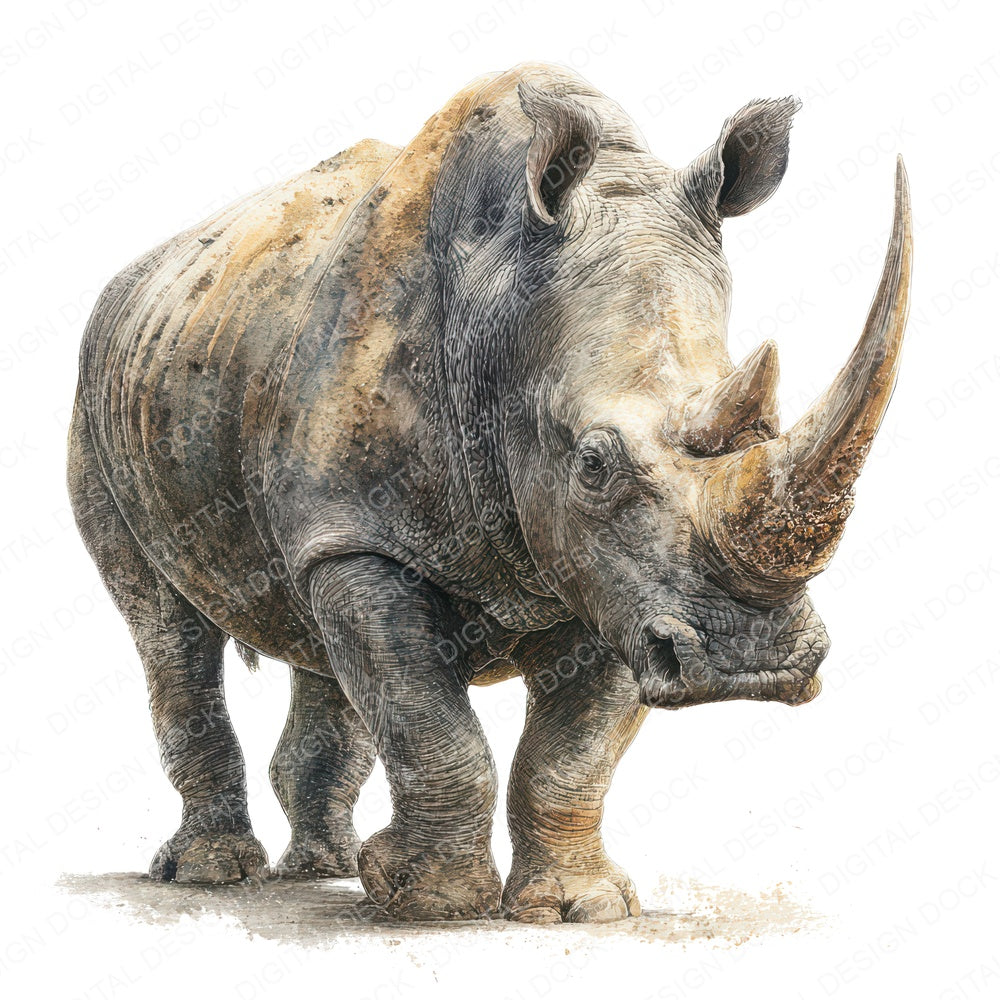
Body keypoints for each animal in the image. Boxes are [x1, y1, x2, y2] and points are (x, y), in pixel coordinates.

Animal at [67, 62, 911, 922]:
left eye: (769, 425)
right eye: (593, 464)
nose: (752, 664)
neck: (501, 317)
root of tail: (140, 275)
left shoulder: (616, 582)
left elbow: (569, 754)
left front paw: (580, 907)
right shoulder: (379, 538)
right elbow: (429, 722)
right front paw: (429, 902)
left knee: (314, 631)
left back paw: (319, 868)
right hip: (96, 398)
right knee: (167, 629)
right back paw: (215, 873)